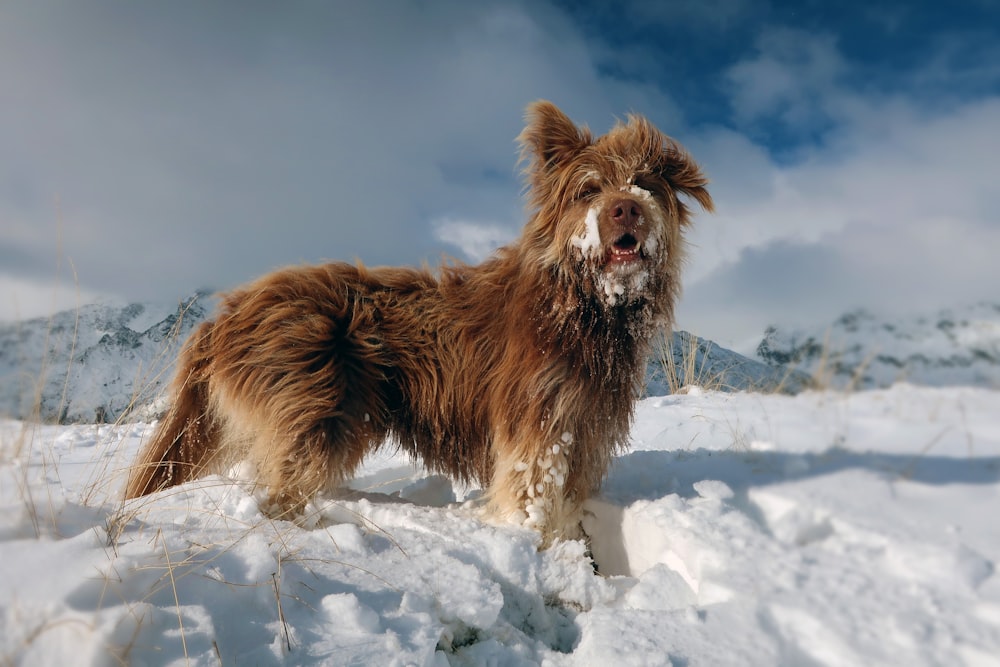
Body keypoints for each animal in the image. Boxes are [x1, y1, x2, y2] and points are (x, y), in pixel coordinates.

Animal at [125, 102, 712, 544]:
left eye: (644, 184)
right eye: (589, 189)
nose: (625, 209)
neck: (584, 305)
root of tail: (223, 316)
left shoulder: (587, 422)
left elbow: (567, 496)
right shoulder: (539, 417)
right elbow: (531, 491)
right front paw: (535, 545)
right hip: (312, 407)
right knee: (282, 483)